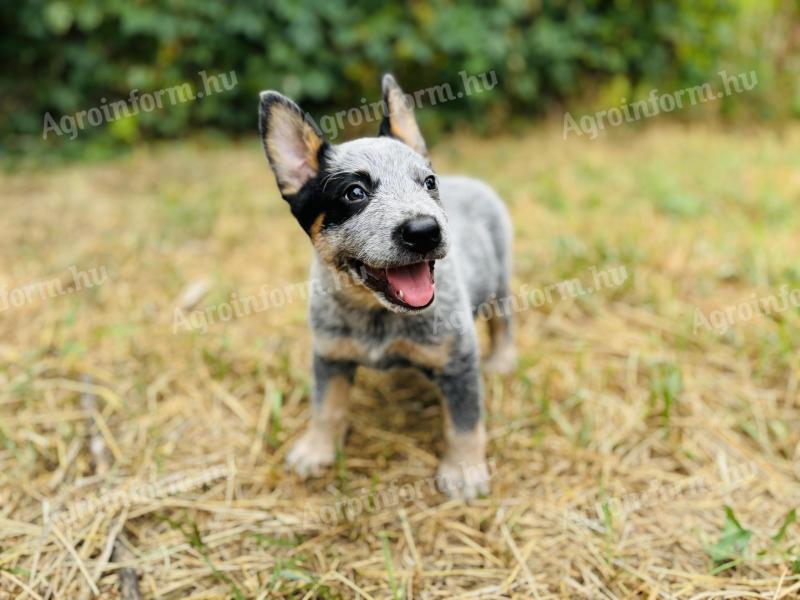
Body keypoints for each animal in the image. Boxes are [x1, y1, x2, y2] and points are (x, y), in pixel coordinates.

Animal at [260, 74, 516, 496]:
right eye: (354, 192)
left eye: (428, 182)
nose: (425, 230)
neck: (375, 315)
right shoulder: (329, 355)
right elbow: (326, 407)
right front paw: (316, 450)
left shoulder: (459, 360)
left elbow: (464, 422)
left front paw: (463, 470)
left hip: (500, 282)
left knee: (503, 322)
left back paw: (503, 359)